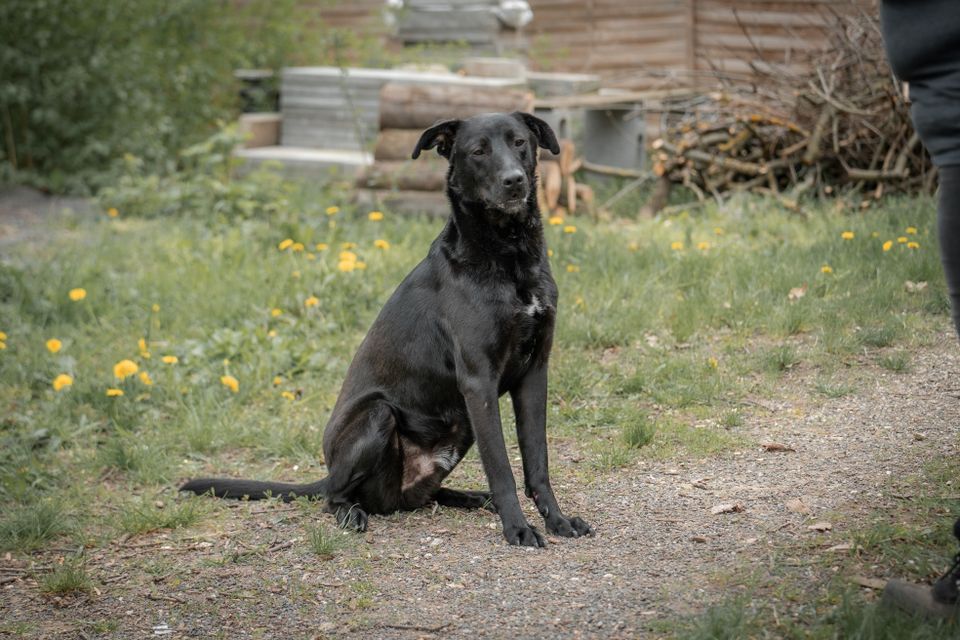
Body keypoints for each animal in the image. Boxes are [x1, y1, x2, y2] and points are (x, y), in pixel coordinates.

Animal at [176, 111, 588, 544]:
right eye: (478, 151)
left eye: (520, 142)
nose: (515, 181)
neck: (508, 254)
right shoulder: (479, 383)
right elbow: (501, 467)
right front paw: (518, 528)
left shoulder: (534, 373)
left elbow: (537, 461)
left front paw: (558, 520)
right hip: (379, 415)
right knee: (335, 497)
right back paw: (351, 513)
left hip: (460, 427)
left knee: (424, 495)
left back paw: (471, 497)